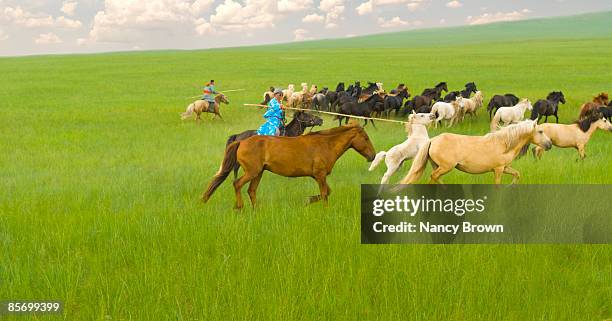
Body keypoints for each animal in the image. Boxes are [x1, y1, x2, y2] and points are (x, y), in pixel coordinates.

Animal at [204, 124, 378, 209]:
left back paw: (257, 210)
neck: (326, 144)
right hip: (252, 172)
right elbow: (325, 194)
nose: (373, 156)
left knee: (251, 191)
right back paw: (240, 207)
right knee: (237, 184)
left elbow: (327, 192)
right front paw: (322, 208)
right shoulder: (320, 175)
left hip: (258, 173)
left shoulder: (318, 176)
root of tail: (241, 141)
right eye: (366, 138)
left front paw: (308, 201)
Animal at [400, 119, 552, 185]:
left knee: (435, 178)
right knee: (433, 177)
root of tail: (433, 140)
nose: (549, 144)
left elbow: (517, 175)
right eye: (540, 131)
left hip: (437, 166)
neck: (504, 144)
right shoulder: (498, 169)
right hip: (445, 167)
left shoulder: (505, 168)